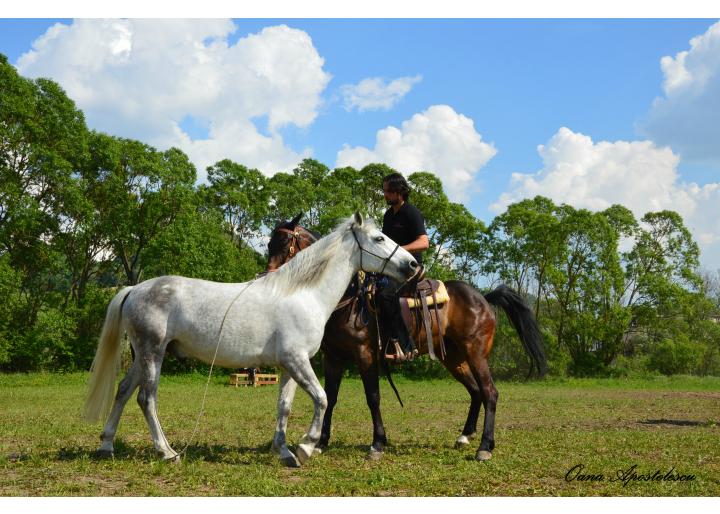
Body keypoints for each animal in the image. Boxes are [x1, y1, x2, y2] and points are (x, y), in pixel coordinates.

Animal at [268, 212, 548, 460]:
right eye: (269, 243)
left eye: (282, 242)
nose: (268, 275)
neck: (348, 298)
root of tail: (483, 298)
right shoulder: (333, 357)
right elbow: (331, 397)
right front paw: (321, 442)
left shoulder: (364, 354)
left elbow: (373, 397)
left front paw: (378, 443)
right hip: (454, 358)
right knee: (476, 391)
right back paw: (465, 436)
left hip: (476, 353)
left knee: (490, 392)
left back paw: (485, 446)